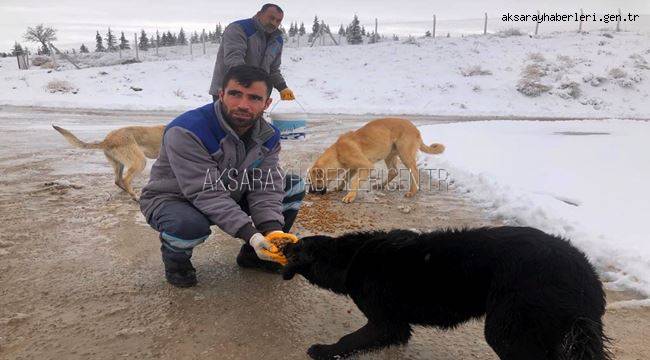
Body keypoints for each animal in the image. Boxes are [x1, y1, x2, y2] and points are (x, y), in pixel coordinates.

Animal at [280, 226, 612, 358]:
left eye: (295, 247)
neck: (352, 257)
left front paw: (323, 351)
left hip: (507, 328)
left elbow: (350, 339)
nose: (281, 245)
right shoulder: (396, 328)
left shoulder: (386, 321)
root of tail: (586, 276)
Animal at [306, 118, 442, 202]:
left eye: (309, 180)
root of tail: (416, 129)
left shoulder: (366, 166)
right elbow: (345, 177)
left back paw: (412, 191)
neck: (337, 152)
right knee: (393, 172)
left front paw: (350, 196)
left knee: (414, 170)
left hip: (405, 154)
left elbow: (354, 182)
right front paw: (339, 187)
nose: (309, 193)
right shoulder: (353, 168)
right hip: (389, 155)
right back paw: (381, 185)